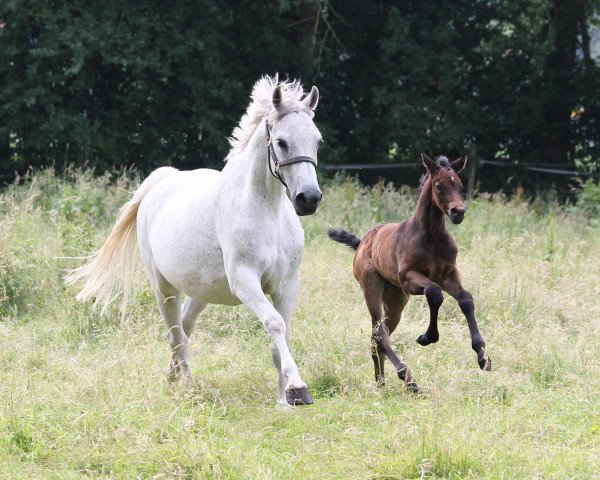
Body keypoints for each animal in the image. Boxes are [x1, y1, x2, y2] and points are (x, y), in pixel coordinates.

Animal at [65, 77, 324, 406]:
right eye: (281, 142)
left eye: (317, 141)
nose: (308, 198)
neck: (267, 212)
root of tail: (164, 181)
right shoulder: (245, 280)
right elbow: (275, 324)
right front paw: (297, 388)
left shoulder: (287, 284)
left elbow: (282, 337)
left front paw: (284, 400)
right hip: (163, 288)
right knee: (176, 334)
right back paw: (187, 387)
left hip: (200, 292)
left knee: (183, 330)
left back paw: (174, 378)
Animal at [328, 154, 492, 394]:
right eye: (438, 185)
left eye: (460, 185)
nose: (458, 212)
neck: (431, 237)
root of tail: (362, 242)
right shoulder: (408, 278)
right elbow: (434, 292)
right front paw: (427, 337)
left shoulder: (449, 274)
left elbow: (466, 299)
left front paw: (482, 357)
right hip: (372, 289)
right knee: (381, 334)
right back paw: (409, 379)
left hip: (396, 300)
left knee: (379, 334)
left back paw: (381, 382)